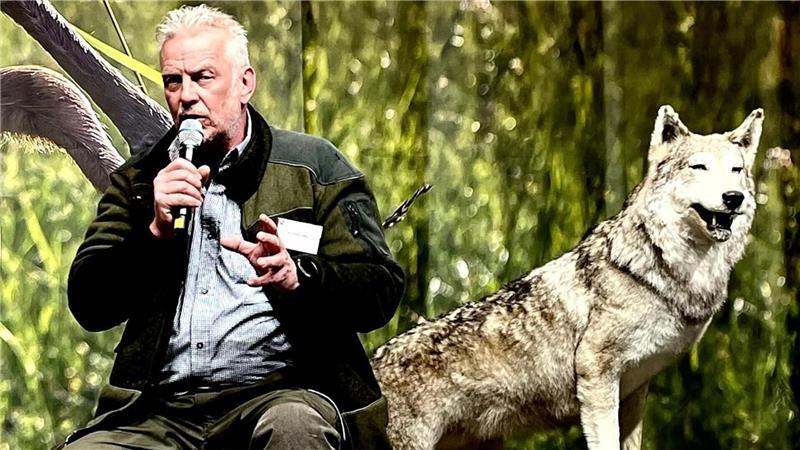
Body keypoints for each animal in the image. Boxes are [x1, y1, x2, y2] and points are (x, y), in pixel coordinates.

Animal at [372, 105, 764, 450]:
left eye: (736, 170)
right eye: (699, 166)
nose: (734, 197)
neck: (660, 268)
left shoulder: (635, 392)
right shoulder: (596, 374)